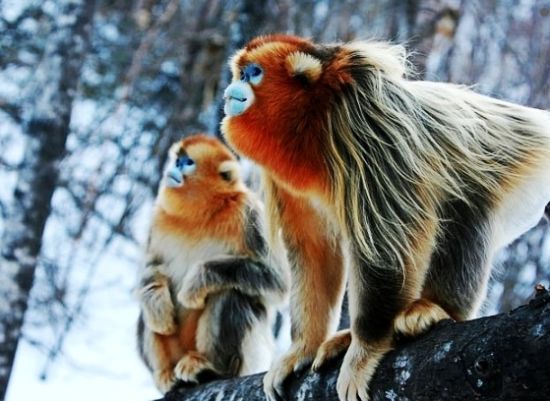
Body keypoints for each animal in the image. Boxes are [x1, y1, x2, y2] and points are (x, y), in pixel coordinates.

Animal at [136, 134, 288, 390]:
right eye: (177, 160)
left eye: (188, 162)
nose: (173, 168)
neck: (199, 213)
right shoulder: (158, 217)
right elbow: (151, 266)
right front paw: (158, 305)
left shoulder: (250, 213)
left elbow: (277, 281)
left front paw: (197, 282)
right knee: (145, 312)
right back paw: (166, 374)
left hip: (244, 360)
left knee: (230, 293)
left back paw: (209, 367)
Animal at [221, 34, 550, 400]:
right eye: (239, 72)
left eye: (253, 73)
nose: (231, 89)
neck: (316, 116)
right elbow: (315, 250)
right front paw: (303, 347)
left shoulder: (366, 121)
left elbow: (386, 247)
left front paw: (364, 353)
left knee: (465, 204)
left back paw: (437, 309)